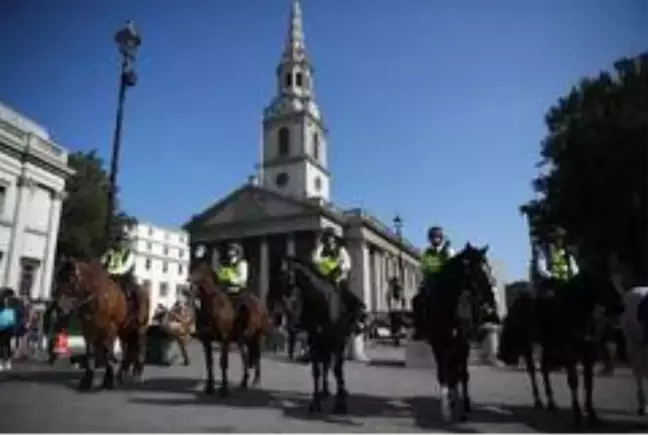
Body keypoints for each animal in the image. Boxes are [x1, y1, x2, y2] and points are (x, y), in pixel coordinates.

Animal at [54, 258, 151, 392]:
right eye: (57, 279)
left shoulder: (110, 329)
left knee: (140, 349)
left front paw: (108, 381)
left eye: (70, 280)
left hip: (140, 330)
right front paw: (86, 381)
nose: (60, 308)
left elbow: (107, 353)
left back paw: (137, 375)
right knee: (128, 352)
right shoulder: (88, 331)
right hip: (125, 332)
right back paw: (121, 375)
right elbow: (91, 354)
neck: (97, 298)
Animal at [189, 260, 270, 396]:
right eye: (193, 268)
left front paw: (224, 390)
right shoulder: (207, 341)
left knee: (257, 356)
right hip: (242, 340)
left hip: (257, 337)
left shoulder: (224, 339)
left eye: (202, 275)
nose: (187, 288)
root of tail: (260, 305)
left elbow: (223, 362)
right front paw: (209, 388)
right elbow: (209, 363)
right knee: (245, 357)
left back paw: (256, 381)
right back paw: (244, 382)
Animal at [278, 255, 360, 416]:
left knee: (335, 367)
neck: (323, 305)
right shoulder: (314, 342)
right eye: (281, 273)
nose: (283, 297)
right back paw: (324, 391)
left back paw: (340, 391)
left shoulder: (338, 342)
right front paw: (315, 402)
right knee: (326, 364)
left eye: (287, 274)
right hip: (324, 344)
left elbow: (338, 370)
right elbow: (316, 371)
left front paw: (340, 404)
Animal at [420, 242, 496, 422]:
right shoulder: (438, 345)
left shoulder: (463, 344)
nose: (490, 298)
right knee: (448, 371)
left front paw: (465, 406)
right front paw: (446, 410)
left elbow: (463, 374)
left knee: (456, 371)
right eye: (474, 268)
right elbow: (443, 374)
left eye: (488, 266)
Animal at [498, 270, 624, 428]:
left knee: (544, 370)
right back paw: (538, 401)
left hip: (546, 346)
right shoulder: (568, 352)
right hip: (528, 345)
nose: (621, 306)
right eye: (603, 282)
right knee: (532, 371)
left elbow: (589, 384)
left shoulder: (588, 355)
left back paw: (551, 403)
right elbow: (573, 381)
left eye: (616, 280)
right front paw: (577, 415)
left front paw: (592, 415)